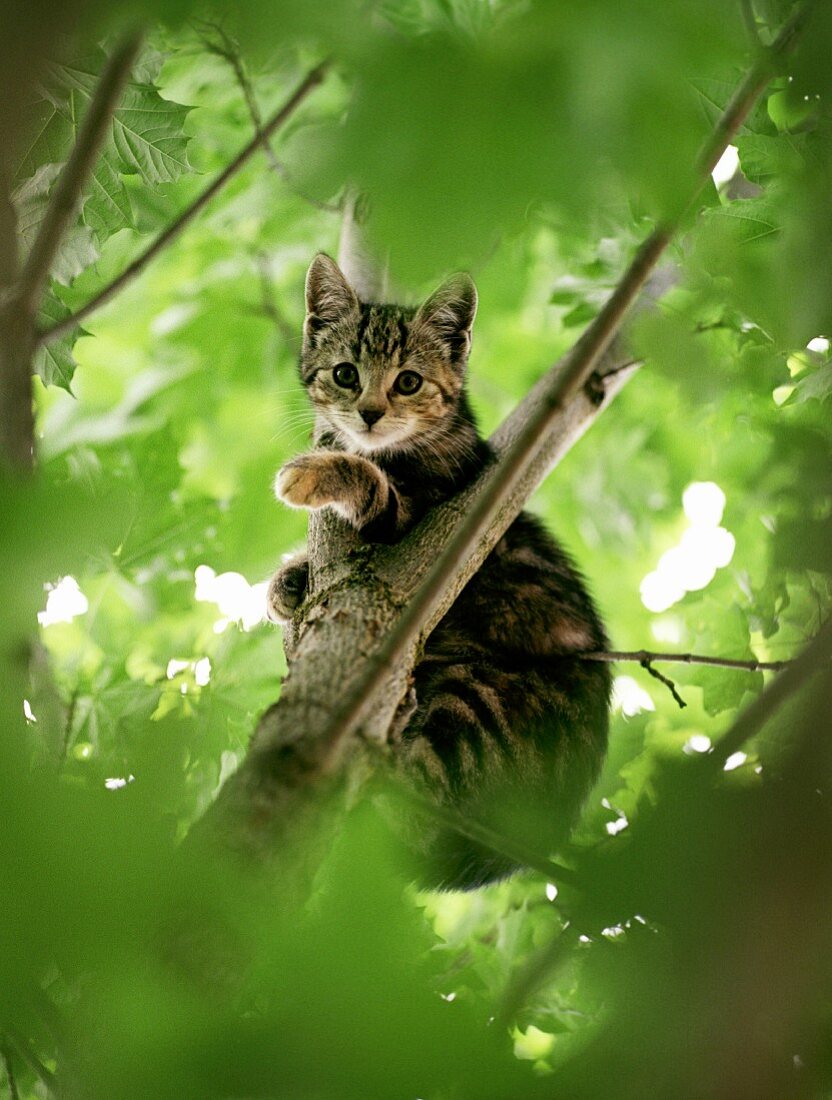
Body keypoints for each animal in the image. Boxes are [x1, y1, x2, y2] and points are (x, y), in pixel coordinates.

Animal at [268, 253, 611, 888]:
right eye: (346, 374)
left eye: (408, 381)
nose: (369, 413)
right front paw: (288, 583)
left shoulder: (427, 499)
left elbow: (376, 487)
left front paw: (314, 474)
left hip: (480, 703)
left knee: (413, 799)